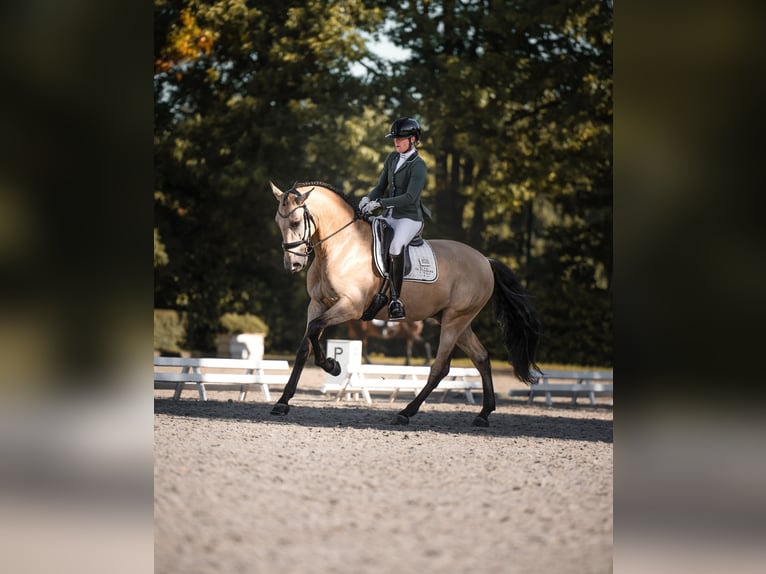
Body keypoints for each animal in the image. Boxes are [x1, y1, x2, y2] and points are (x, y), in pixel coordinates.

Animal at [270, 181, 540, 426]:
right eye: (278, 223)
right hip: (457, 322)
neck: (340, 247)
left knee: (440, 367)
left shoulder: (350, 307)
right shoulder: (317, 304)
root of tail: (485, 260)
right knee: (481, 357)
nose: (293, 265)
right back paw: (483, 414)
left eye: (296, 222)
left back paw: (406, 413)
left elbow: (315, 328)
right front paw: (282, 402)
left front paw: (333, 365)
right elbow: (305, 345)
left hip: (455, 320)